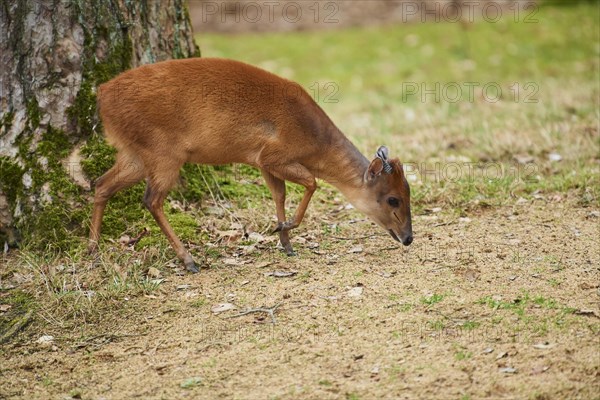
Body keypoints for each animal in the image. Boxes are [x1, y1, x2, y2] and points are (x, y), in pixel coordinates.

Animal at [89, 57, 412, 274]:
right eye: (393, 198)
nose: (408, 238)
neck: (315, 141)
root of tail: (102, 95)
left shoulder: (262, 162)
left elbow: (279, 194)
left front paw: (285, 241)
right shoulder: (273, 155)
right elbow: (311, 183)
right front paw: (285, 227)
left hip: (134, 154)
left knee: (101, 184)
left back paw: (92, 249)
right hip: (163, 152)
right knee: (151, 199)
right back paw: (189, 260)